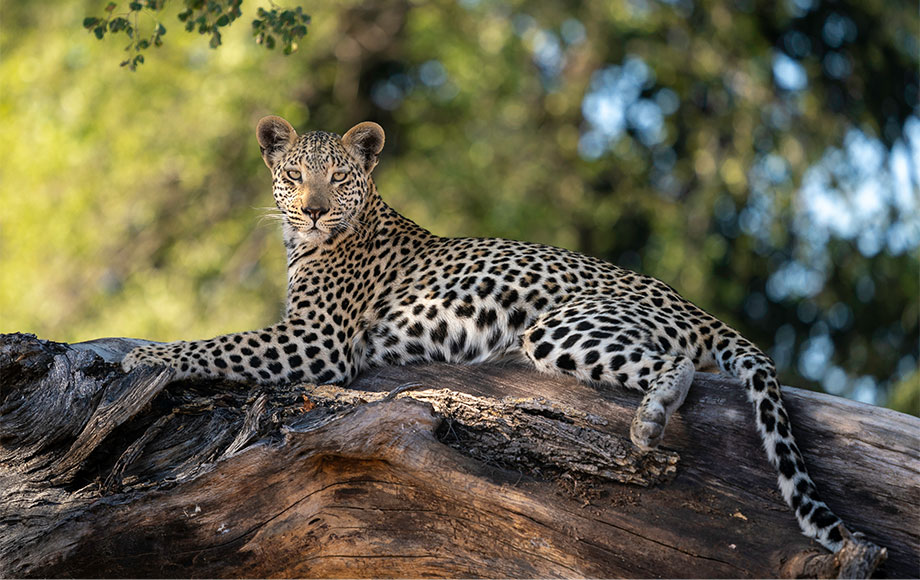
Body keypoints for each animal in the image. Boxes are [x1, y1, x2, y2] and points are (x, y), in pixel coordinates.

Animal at [122, 116, 856, 552]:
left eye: (338, 178)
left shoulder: (317, 339)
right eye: (294, 175)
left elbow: (218, 343)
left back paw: (648, 423)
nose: (313, 211)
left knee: (672, 365)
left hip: (559, 327)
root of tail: (691, 304)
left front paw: (142, 350)